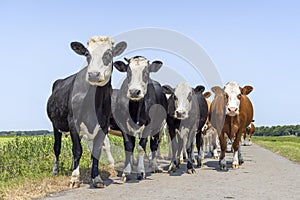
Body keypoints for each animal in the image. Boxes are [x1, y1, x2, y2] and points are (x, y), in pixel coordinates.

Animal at [46, 36, 126, 188]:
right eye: (87, 54)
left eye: (109, 54)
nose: (93, 74)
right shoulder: (73, 122)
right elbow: (77, 150)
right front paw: (74, 178)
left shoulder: (103, 125)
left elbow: (96, 151)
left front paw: (97, 178)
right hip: (55, 125)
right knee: (57, 148)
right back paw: (55, 171)